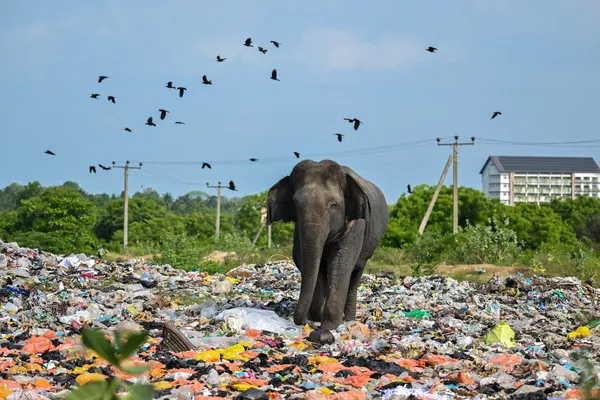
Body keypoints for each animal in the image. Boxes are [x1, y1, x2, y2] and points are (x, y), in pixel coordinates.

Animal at [268, 159, 390, 332]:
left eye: (333, 205)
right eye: (295, 204)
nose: (301, 321)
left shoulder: (356, 225)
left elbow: (341, 263)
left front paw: (329, 325)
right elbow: (303, 260)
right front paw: (317, 318)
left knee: (355, 273)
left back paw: (349, 319)